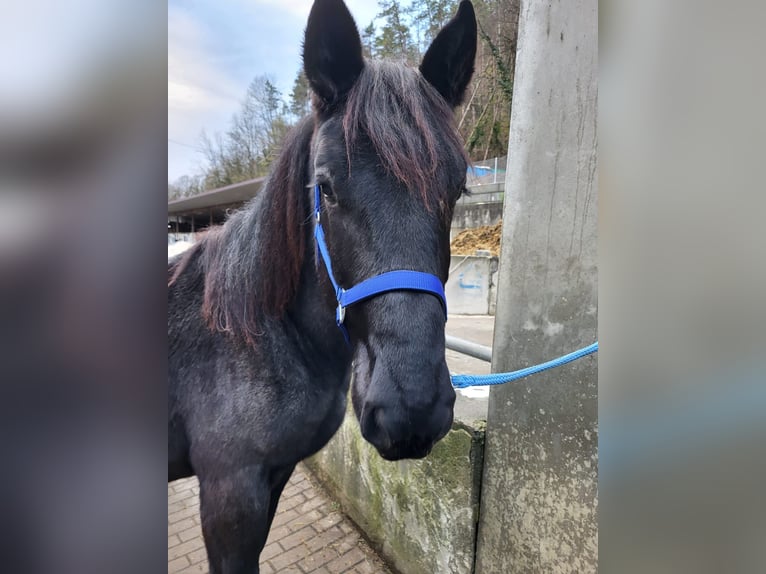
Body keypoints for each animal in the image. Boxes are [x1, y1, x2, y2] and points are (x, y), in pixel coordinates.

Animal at [171, 2, 476, 572]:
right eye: (327, 188)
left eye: (459, 188)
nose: (413, 408)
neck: (250, 336)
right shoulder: (229, 495)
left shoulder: (274, 476)